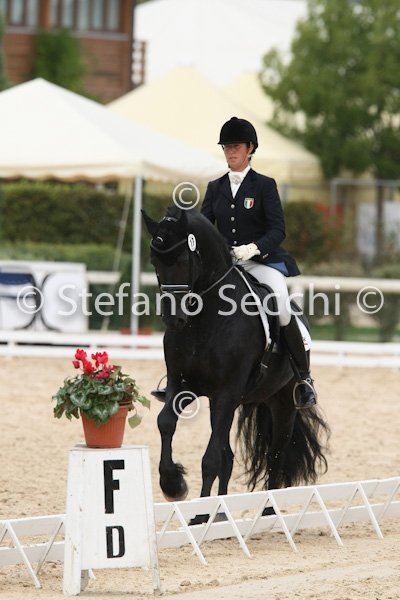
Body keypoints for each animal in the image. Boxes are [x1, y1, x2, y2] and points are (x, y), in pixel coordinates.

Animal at [143, 205, 330, 522]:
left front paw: (199, 513)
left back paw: (268, 512)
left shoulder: (226, 393)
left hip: (283, 403)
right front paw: (174, 485)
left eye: (182, 260)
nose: (173, 320)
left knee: (275, 455)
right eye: (155, 261)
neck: (205, 318)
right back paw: (222, 513)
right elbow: (166, 422)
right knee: (229, 455)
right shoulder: (183, 385)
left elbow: (210, 459)